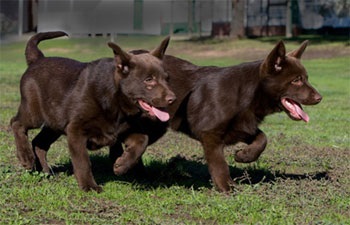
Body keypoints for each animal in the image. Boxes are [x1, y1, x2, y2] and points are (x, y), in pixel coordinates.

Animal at [10, 31, 175, 192]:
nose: (173, 99)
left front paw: (121, 165)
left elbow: (142, 141)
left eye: (167, 78)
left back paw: (44, 171)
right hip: (34, 113)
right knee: (16, 123)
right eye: (149, 80)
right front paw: (89, 186)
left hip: (55, 123)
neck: (116, 103)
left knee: (39, 142)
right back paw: (26, 158)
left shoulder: (124, 129)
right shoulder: (76, 130)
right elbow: (83, 162)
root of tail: (37, 59)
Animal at [113, 40, 322, 192]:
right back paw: (123, 166)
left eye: (306, 78)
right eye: (296, 80)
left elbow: (262, 139)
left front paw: (244, 156)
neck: (247, 95)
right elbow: (219, 164)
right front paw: (227, 188)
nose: (319, 98)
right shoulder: (211, 135)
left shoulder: (242, 127)